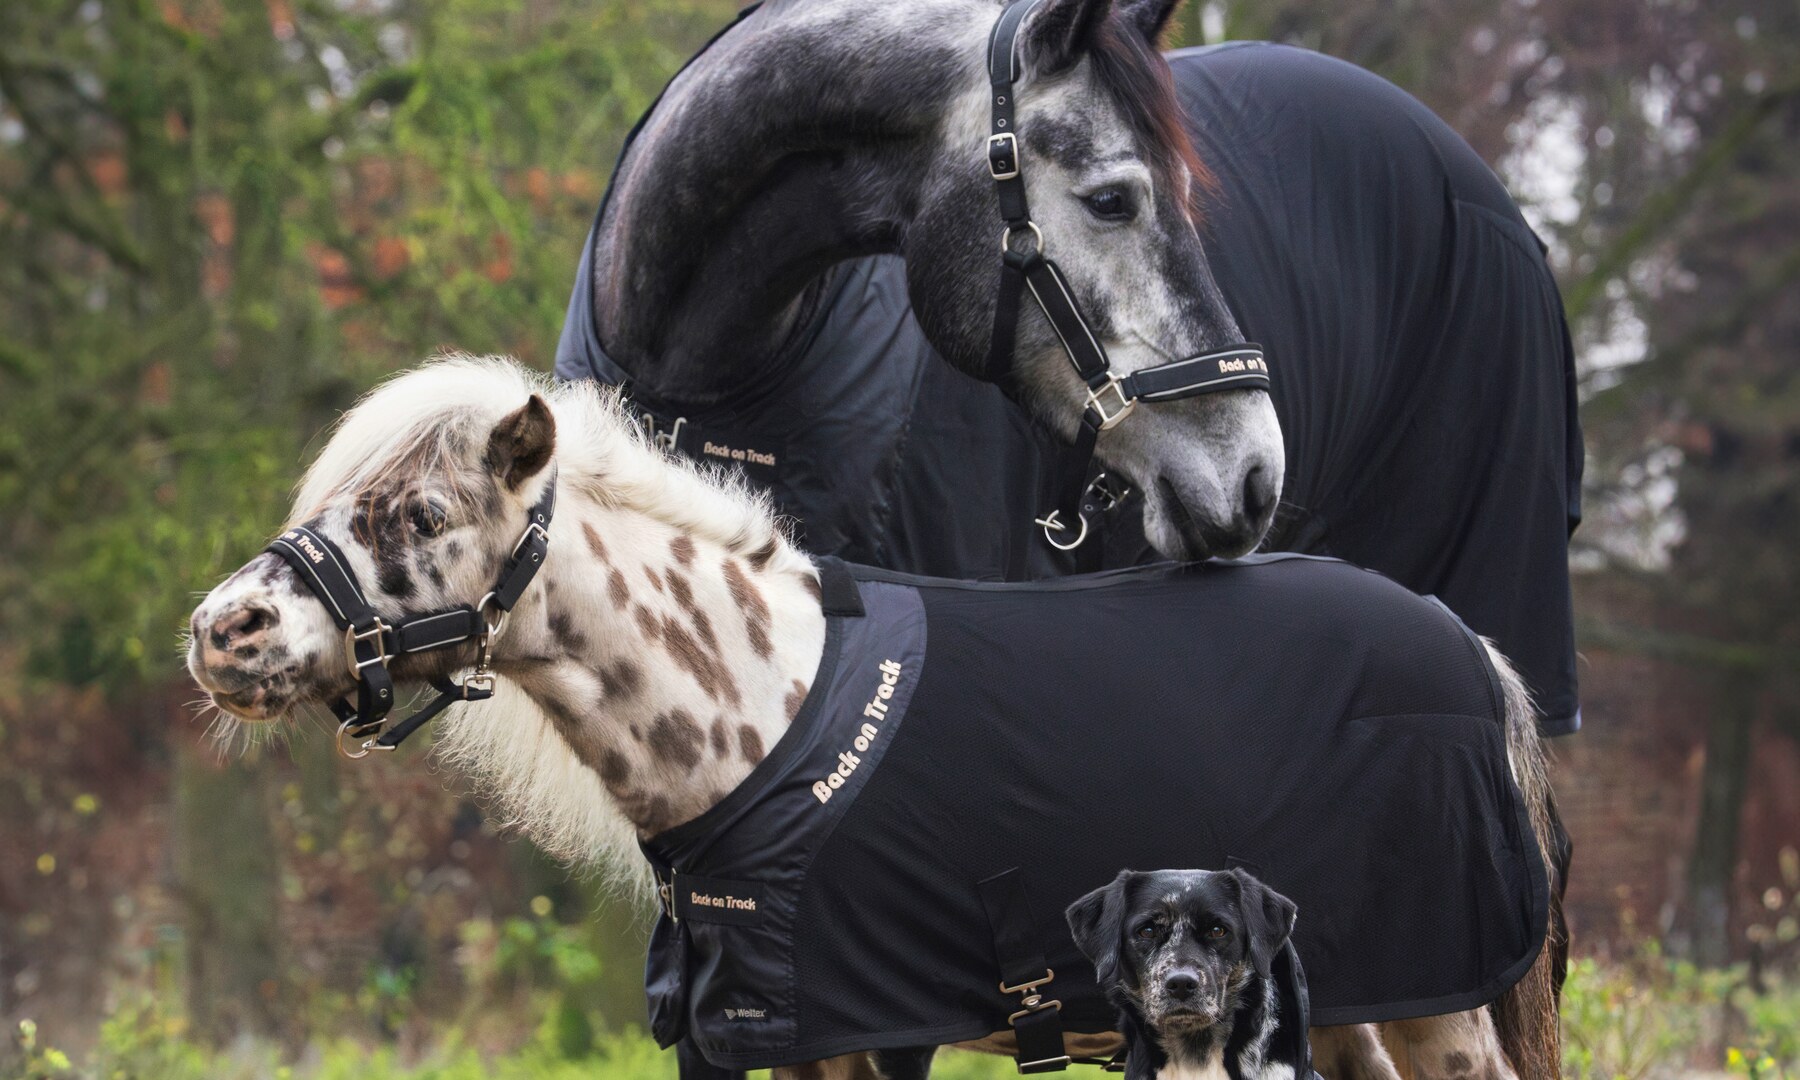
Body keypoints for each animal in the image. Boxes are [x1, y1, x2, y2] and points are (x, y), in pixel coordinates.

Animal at [186, 358, 1563, 1080]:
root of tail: (1469, 652)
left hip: (1436, 1007)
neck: (769, 716)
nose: (224, 632)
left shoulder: (872, 1035)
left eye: (421, 514)